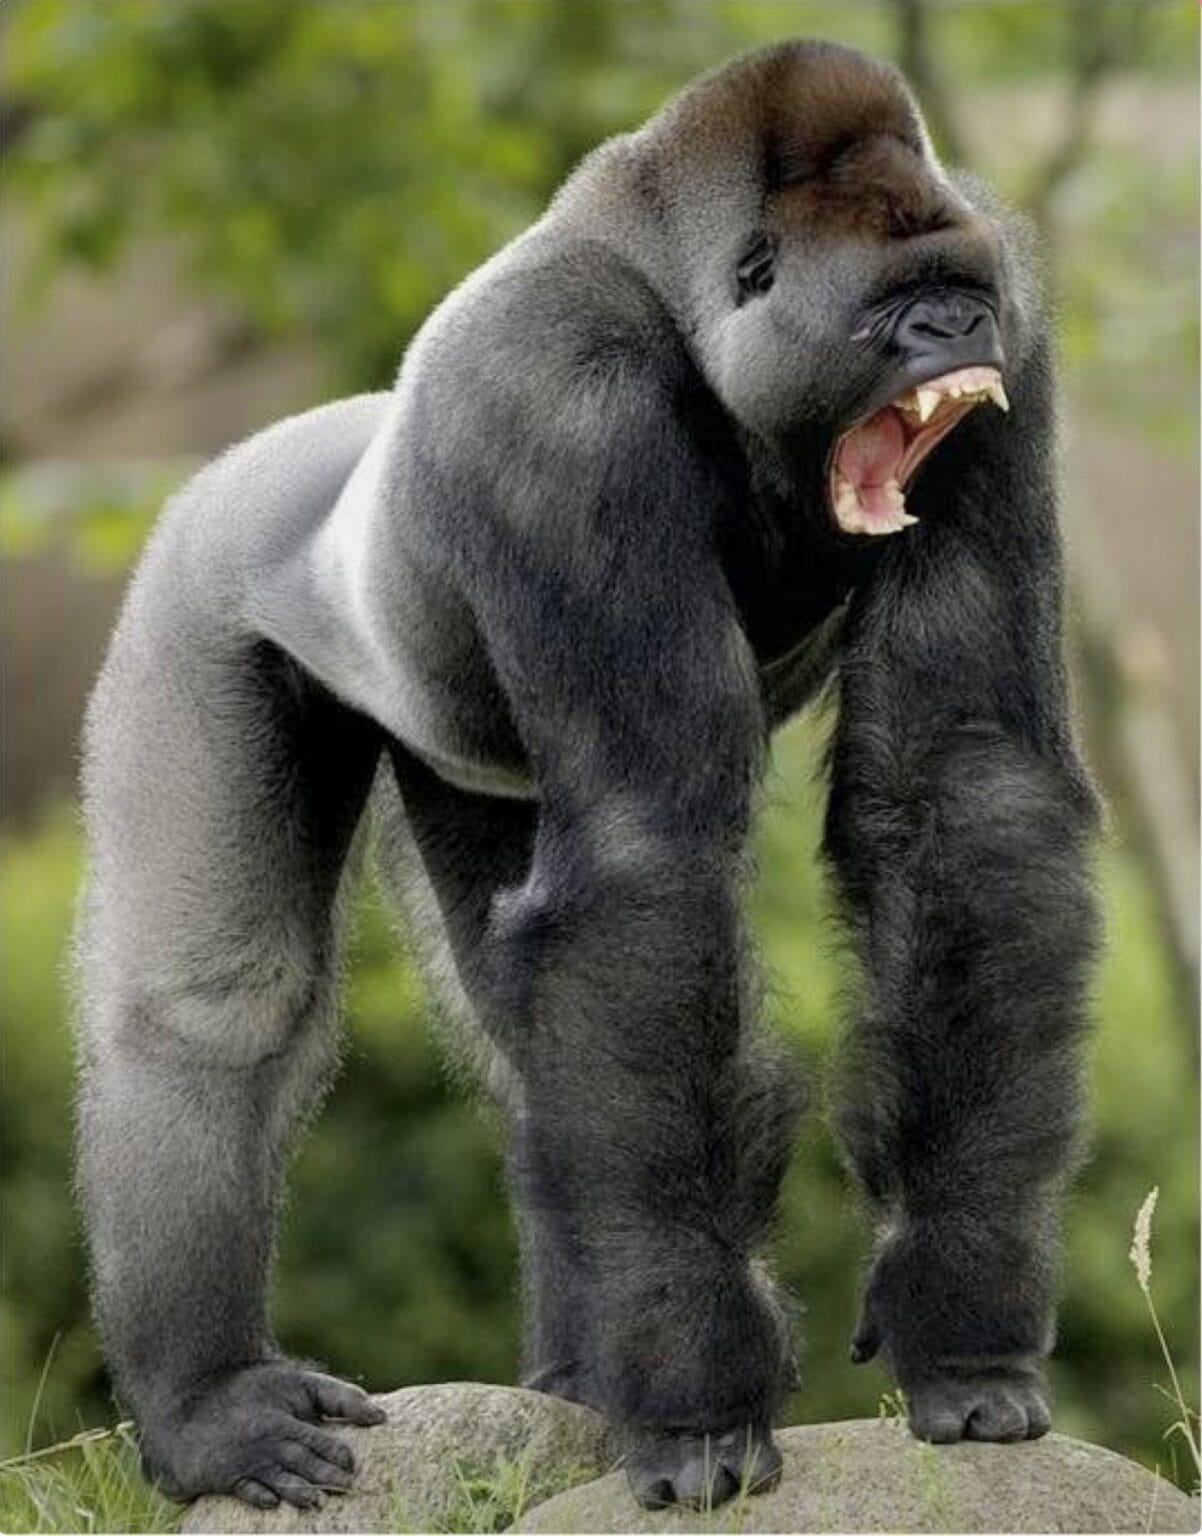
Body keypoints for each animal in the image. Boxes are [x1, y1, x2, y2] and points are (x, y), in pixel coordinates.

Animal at [76, 38, 1099, 1513]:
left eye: (962, 291)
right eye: (897, 305)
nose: (954, 334)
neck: (679, 292)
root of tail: (303, 440)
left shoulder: (1015, 333)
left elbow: (962, 793)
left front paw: (958, 1312)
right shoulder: (554, 405)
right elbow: (646, 856)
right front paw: (700, 1404)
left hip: (449, 745)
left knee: (525, 1017)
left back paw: (573, 1383)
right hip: (202, 570)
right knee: (215, 1007)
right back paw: (206, 1402)